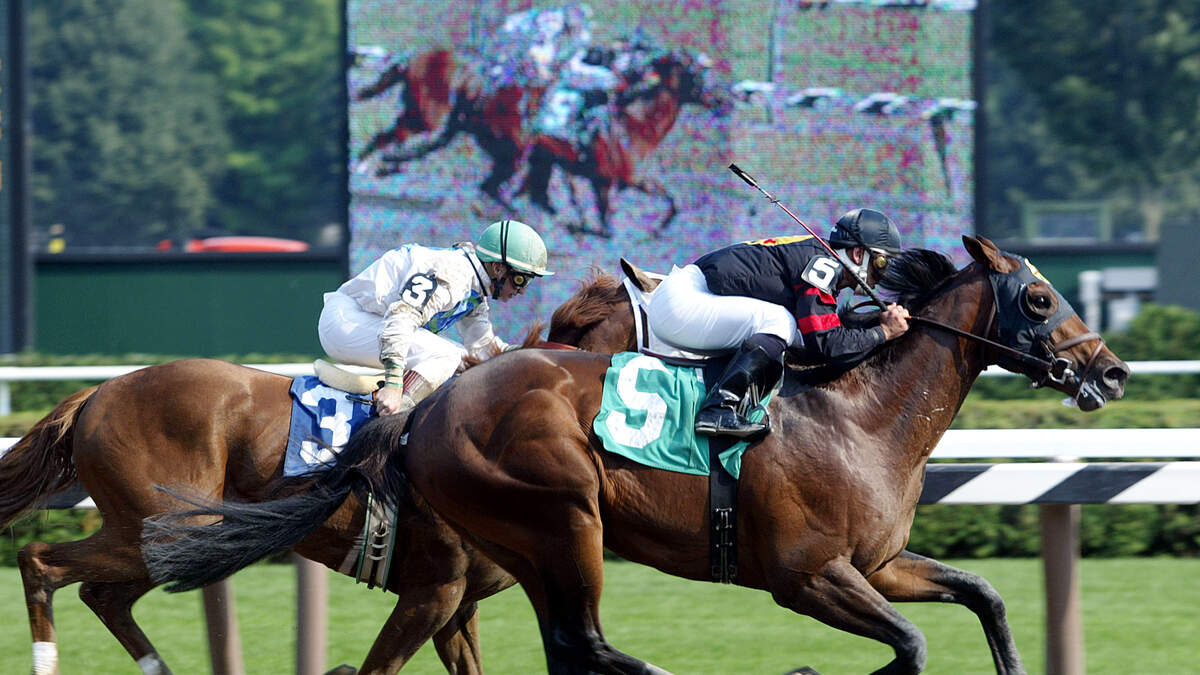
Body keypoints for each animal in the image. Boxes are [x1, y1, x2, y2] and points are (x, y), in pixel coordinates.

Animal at [138, 234, 1123, 667]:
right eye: (1040, 300)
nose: (1108, 370)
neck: (858, 416)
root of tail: (427, 408)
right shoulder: (807, 574)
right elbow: (913, 644)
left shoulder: (876, 562)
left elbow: (985, 598)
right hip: (565, 517)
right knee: (587, 640)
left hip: (529, 545)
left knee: (572, 644)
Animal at [518, 51, 729, 237]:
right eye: (696, 76)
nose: (720, 100)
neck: (638, 125)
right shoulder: (617, 179)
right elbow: (607, 222)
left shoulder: (629, 179)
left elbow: (672, 201)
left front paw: (656, 230)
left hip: (548, 160)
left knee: (545, 194)